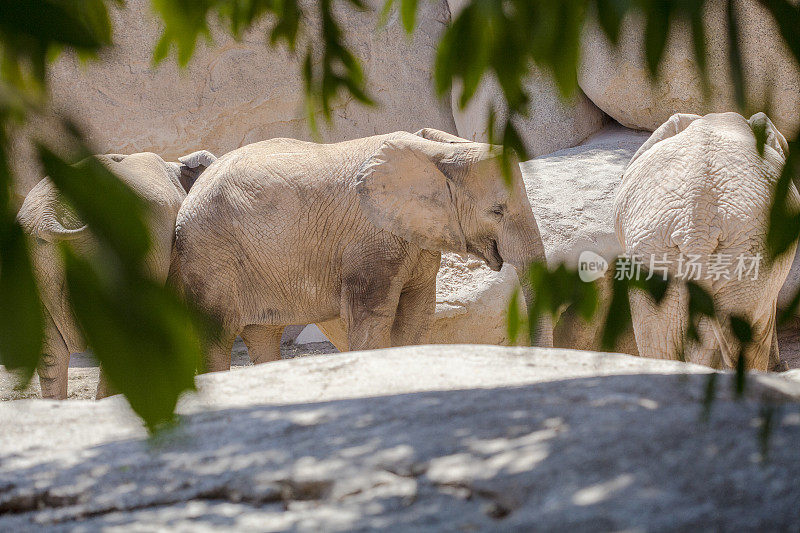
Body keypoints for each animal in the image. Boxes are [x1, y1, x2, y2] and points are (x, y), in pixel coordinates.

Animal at [174, 128, 552, 370]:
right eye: (497, 211)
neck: (434, 154)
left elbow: (418, 314)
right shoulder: (370, 241)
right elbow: (373, 316)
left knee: (263, 335)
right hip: (210, 256)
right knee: (214, 340)